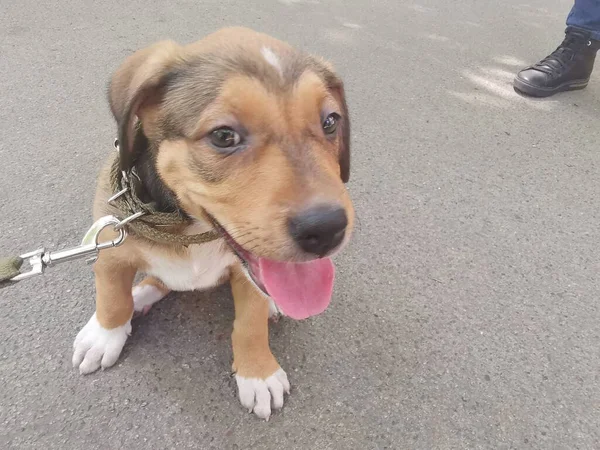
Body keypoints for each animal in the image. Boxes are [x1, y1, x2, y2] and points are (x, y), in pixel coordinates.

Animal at [71, 28, 354, 420]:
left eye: (330, 122)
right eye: (223, 136)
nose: (327, 230)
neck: (191, 231)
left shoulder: (248, 276)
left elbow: (249, 326)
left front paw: (258, 374)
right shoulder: (111, 250)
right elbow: (112, 297)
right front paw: (104, 336)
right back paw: (141, 294)